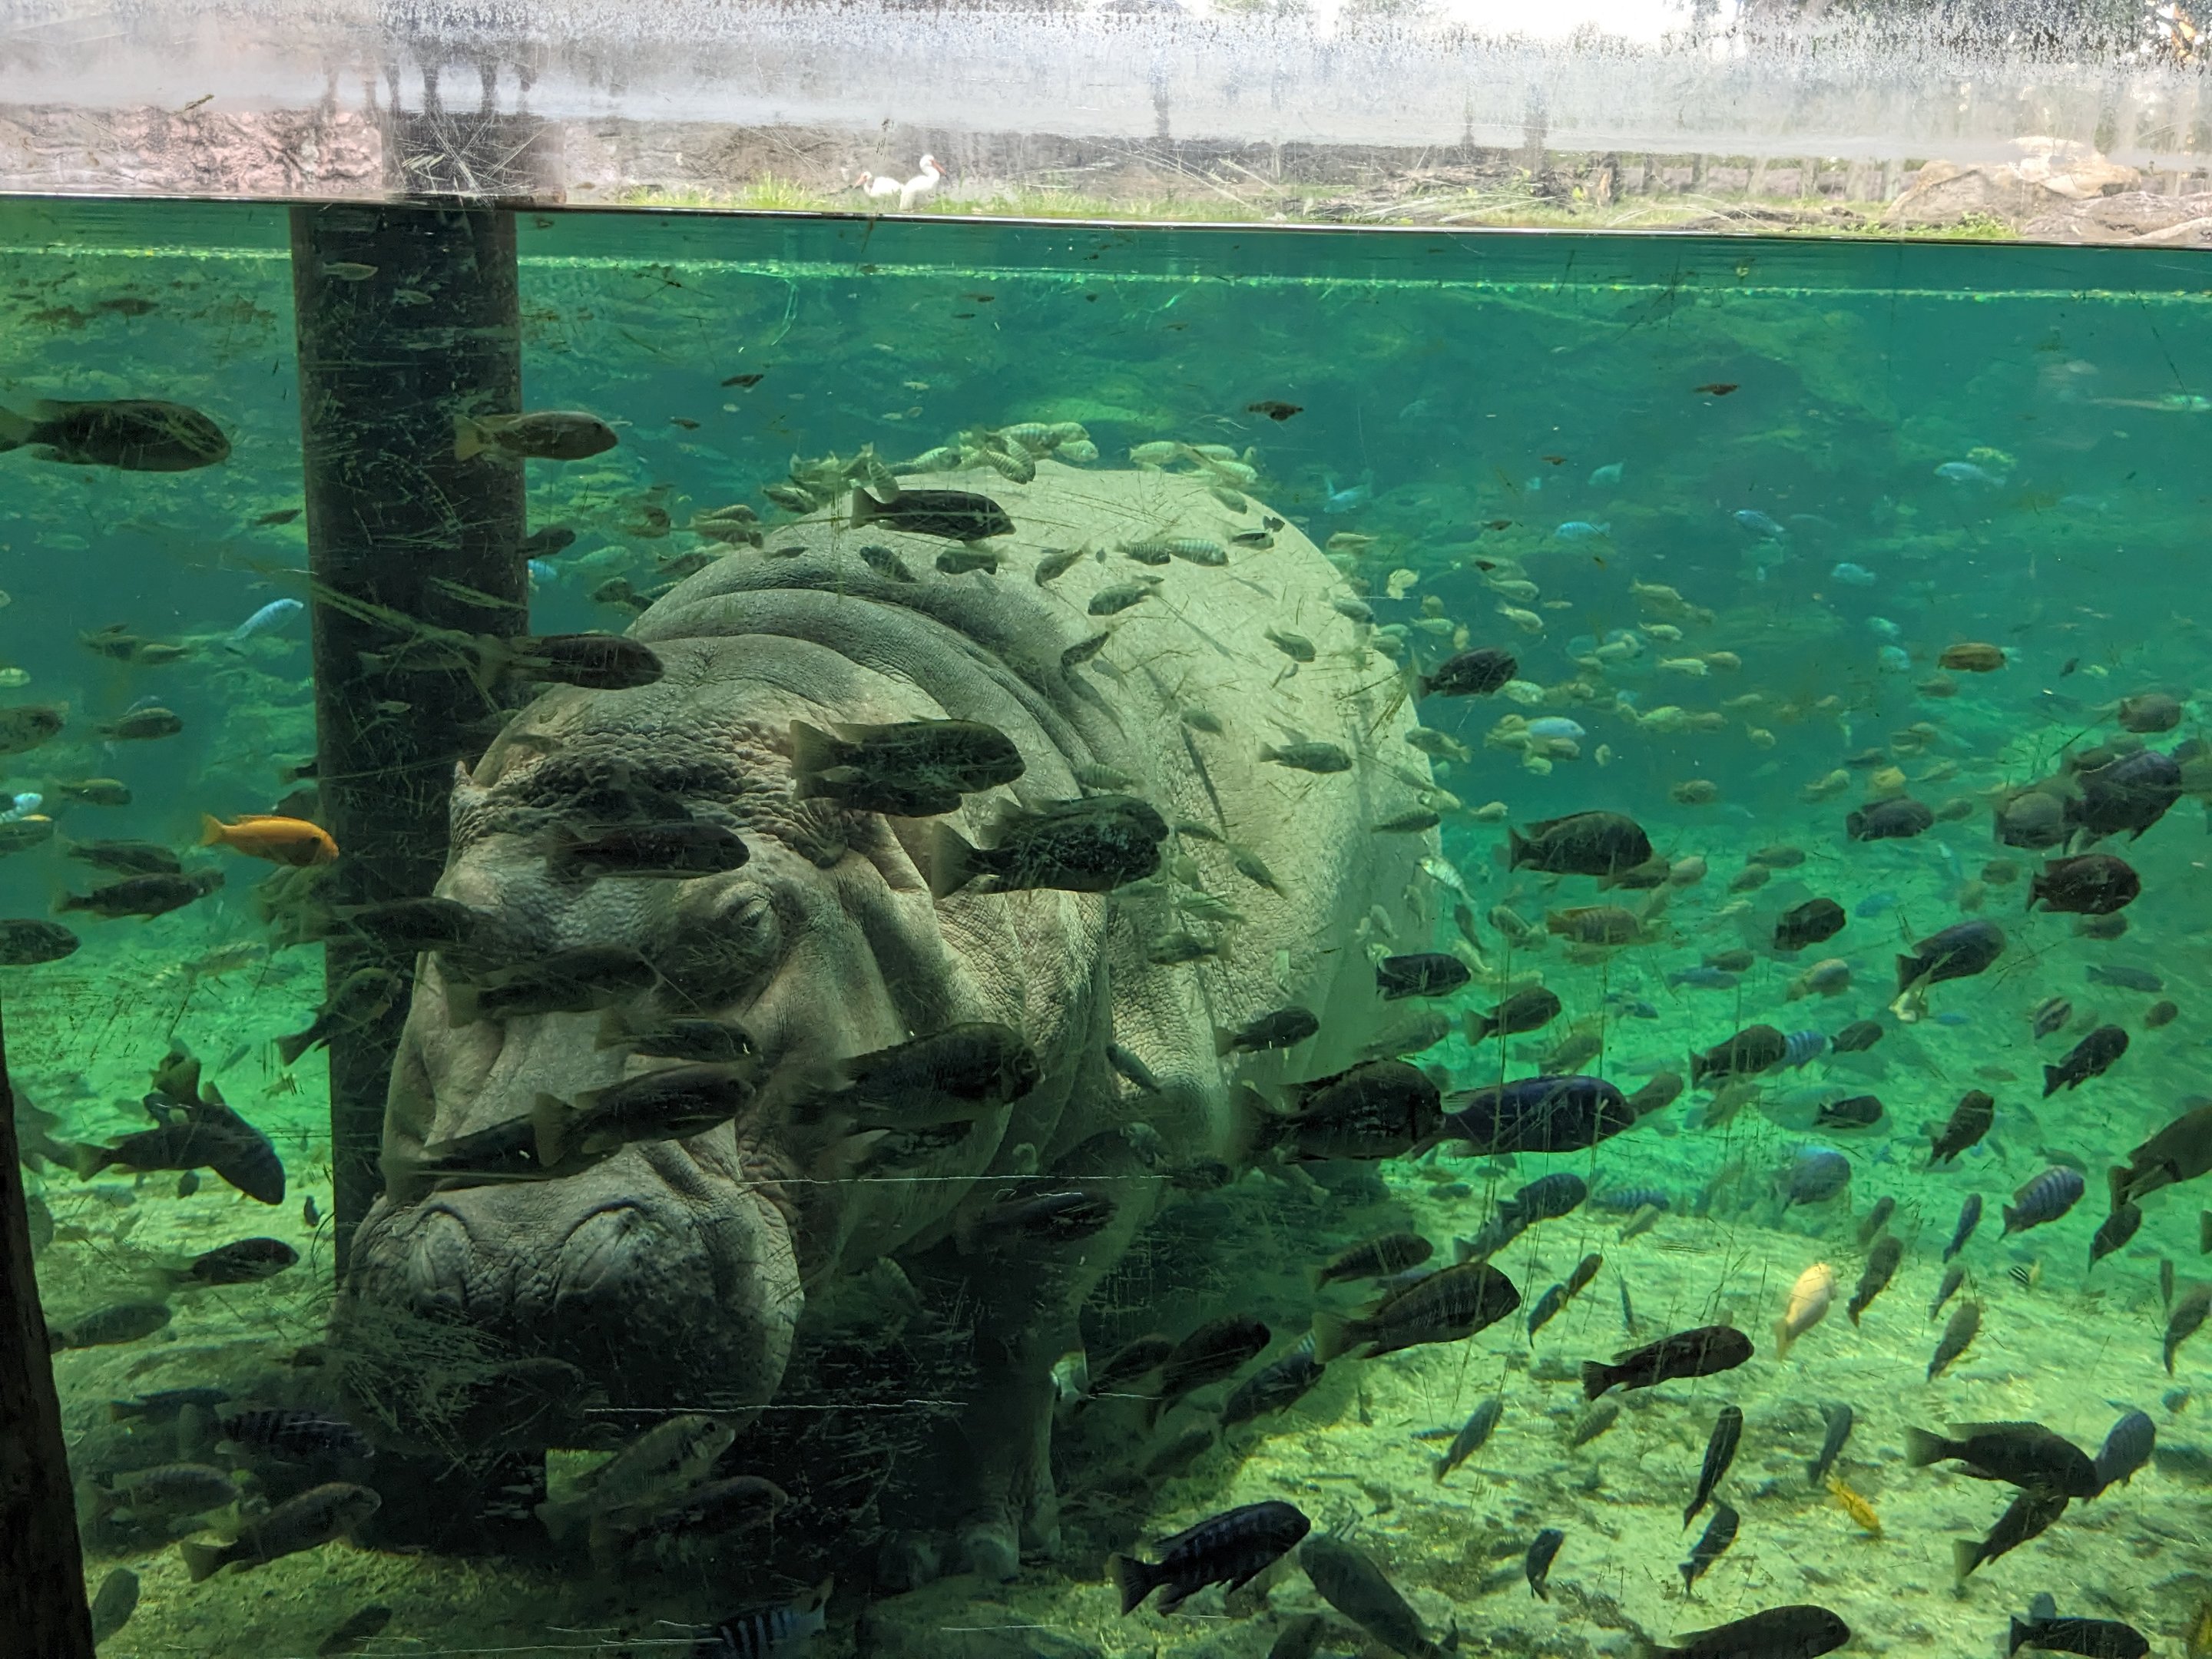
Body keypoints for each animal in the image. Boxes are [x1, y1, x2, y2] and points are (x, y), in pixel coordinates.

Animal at [338, 463, 1437, 1581]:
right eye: (449, 929)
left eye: (745, 926)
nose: (515, 1273)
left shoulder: (1116, 1133)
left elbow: (1010, 1337)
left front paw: (969, 1547)